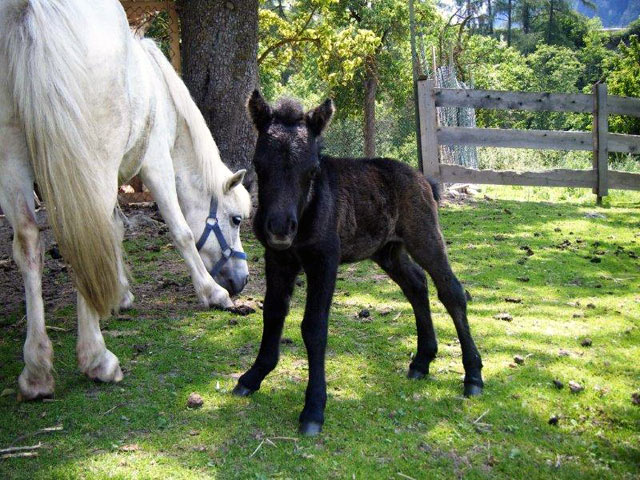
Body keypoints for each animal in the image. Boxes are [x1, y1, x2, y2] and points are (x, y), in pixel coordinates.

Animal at [0, 0, 252, 400]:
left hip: (13, 156)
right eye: (236, 219)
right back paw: (97, 359)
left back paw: (37, 369)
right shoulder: (156, 163)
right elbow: (180, 232)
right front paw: (212, 293)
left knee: (30, 243)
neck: (161, 94)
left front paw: (118, 293)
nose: (241, 280)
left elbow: (116, 230)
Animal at [232, 92, 482, 436]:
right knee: (417, 285)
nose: (280, 228)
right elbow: (273, 313)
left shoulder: (325, 260)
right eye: (259, 165)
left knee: (451, 291)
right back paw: (422, 361)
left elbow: (314, 326)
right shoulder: (278, 258)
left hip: (424, 237)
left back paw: (473, 375)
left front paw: (314, 408)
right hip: (387, 251)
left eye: (312, 169)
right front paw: (254, 376)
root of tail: (423, 179)